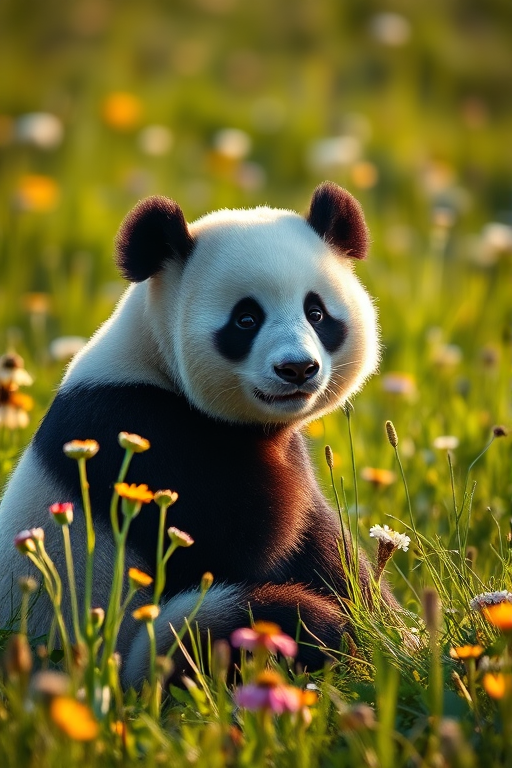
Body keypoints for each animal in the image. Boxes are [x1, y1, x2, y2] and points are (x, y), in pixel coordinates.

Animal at [0, 181, 397, 684]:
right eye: (246, 319)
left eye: (317, 312)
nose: (297, 369)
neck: (153, 360)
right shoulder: (141, 431)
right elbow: (249, 540)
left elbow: (326, 543)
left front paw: (400, 637)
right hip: (138, 646)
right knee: (249, 621)